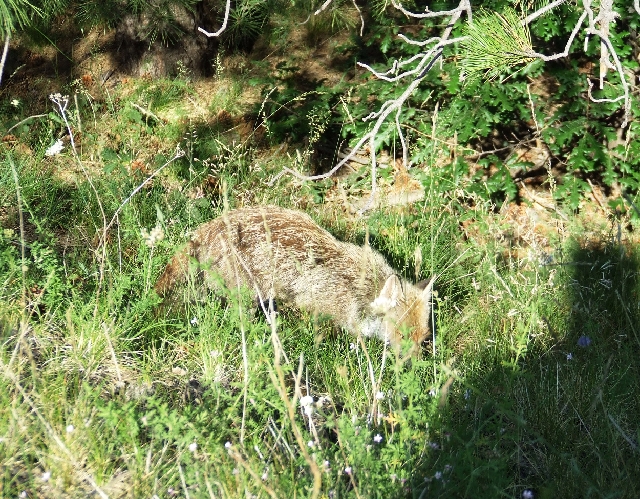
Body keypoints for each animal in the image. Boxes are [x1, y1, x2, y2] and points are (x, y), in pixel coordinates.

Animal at [155, 206, 435, 355]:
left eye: (423, 338)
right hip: (248, 299)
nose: (412, 366)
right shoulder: (318, 309)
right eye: (402, 334)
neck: (358, 287)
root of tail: (205, 230)